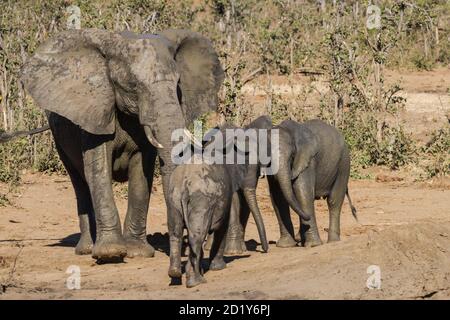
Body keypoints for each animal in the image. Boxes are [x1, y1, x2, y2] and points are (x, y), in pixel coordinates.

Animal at [20, 28, 224, 262]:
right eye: (133, 86)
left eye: (178, 85)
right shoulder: (95, 114)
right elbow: (98, 170)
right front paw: (111, 253)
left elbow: (141, 173)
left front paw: (138, 252)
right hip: (59, 137)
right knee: (80, 183)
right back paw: (87, 249)